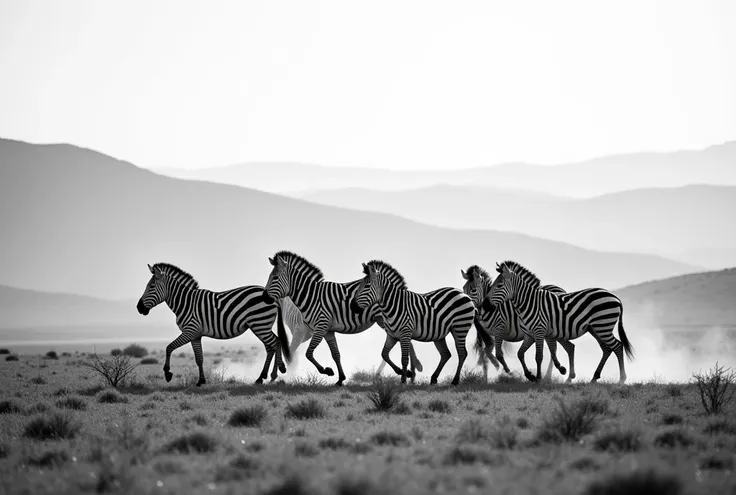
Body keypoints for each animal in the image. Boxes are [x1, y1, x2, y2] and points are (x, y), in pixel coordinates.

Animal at [137, 264, 290, 388]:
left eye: (151, 286)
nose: (139, 308)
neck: (185, 302)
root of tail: (272, 296)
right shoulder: (195, 335)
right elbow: (199, 358)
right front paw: (201, 381)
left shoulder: (190, 331)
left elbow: (169, 347)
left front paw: (168, 373)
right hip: (260, 326)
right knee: (271, 346)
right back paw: (263, 377)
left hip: (260, 324)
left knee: (275, 342)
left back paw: (278, 371)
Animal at [262, 252, 422, 388]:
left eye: (275, 278)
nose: (263, 297)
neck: (311, 296)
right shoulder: (327, 330)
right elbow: (335, 354)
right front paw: (340, 379)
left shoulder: (317, 327)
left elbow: (305, 353)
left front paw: (326, 371)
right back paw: (410, 372)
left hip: (386, 320)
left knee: (407, 343)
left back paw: (409, 373)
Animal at [488, 262, 632, 386]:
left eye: (499, 285)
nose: (486, 305)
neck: (529, 304)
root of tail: (615, 297)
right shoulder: (530, 335)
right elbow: (520, 353)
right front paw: (530, 376)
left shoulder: (539, 332)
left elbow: (539, 356)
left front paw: (538, 378)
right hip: (596, 329)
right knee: (607, 349)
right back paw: (594, 377)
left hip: (603, 326)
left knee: (618, 346)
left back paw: (621, 379)